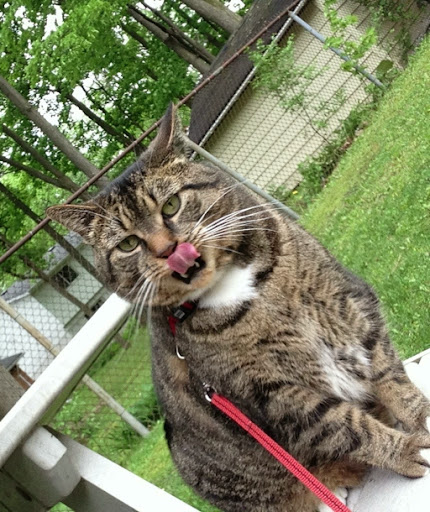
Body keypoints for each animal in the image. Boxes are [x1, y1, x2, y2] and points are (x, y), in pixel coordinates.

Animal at [47, 104, 430, 512]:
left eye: (171, 206)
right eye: (128, 244)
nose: (168, 250)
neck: (237, 288)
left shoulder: (347, 306)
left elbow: (389, 375)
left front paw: (419, 418)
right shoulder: (269, 393)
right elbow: (344, 425)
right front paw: (401, 450)